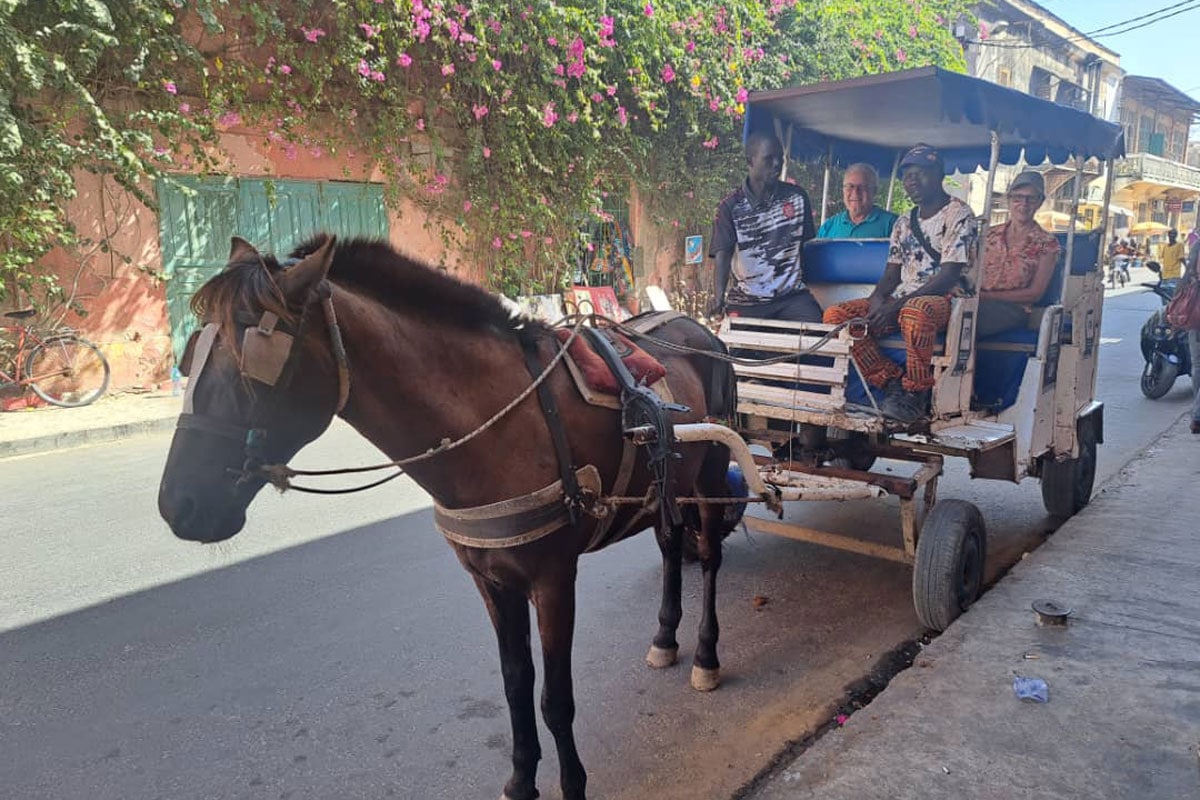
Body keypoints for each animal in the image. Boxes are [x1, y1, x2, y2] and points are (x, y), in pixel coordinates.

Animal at [157, 232, 739, 800]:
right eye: (189, 361)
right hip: (668, 488)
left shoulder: (553, 578)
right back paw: (665, 637)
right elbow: (514, 682)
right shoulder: (489, 577)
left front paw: (572, 784)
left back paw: (707, 655)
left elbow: (556, 699)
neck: (501, 423)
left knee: (710, 558)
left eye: (250, 369)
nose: (176, 505)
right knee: (671, 545)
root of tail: (699, 330)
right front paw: (521, 779)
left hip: (711, 477)